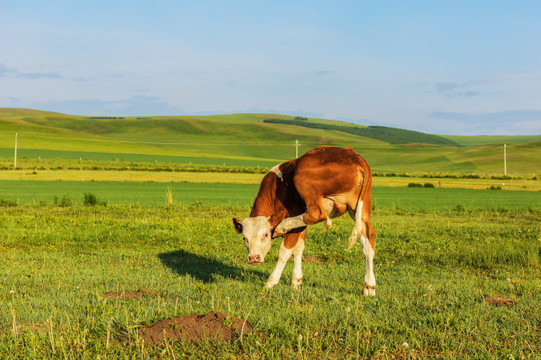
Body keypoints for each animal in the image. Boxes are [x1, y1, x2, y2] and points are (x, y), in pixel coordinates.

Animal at [232, 146, 376, 296]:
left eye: (265, 235)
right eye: (244, 238)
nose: (253, 257)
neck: (275, 191)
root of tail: (352, 155)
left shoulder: (295, 224)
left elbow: (284, 252)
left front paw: (271, 282)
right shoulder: (301, 228)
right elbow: (298, 249)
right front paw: (296, 281)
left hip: (302, 180)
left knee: (317, 214)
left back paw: (282, 226)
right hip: (360, 208)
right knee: (368, 239)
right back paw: (369, 286)